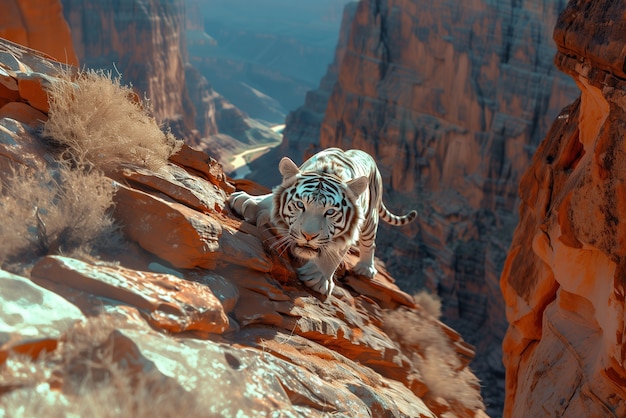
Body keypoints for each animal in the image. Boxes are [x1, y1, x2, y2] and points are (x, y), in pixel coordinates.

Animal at [228, 149, 414, 296]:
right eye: (300, 204)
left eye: (330, 212)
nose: (308, 236)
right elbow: (271, 199)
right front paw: (247, 202)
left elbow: (334, 253)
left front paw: (317, 278)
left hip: (370, 218)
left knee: (370, 243)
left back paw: (365, 268)